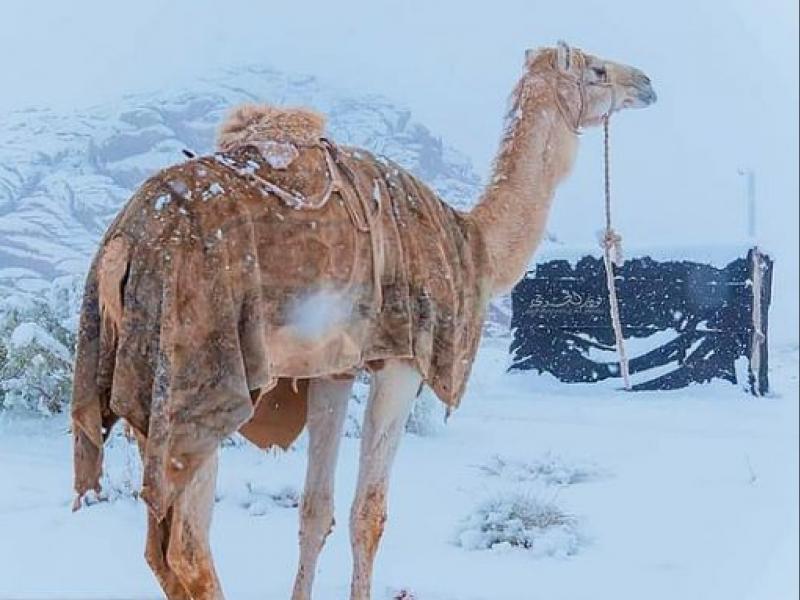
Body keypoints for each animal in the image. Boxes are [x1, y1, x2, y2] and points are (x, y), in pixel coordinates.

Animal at [70, 43, 656, 600]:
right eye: (597, 70)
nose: (646, 83)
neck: (472, 246)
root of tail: (122, 246)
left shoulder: (334, 368)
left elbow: (314, 510)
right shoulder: (404, 358)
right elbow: (368, 514)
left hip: (144, 384)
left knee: (162, 550)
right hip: (195, 376)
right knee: (187, 550)